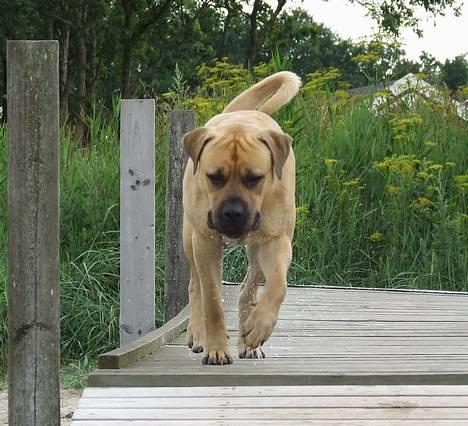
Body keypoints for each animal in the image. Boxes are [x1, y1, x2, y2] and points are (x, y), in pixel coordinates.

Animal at [181, 71, 302, 364]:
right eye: (214, 177)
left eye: (254, 178)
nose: (233, 213)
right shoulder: (206, 241)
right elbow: (212, 300)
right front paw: (215, 348)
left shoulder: (276, 240)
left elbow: (277, 285)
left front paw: (258, 327)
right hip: (190, 239)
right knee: (196, 287)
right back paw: (198, 334)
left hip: (256, 249)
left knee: (248, 288)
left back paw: (248, 342)